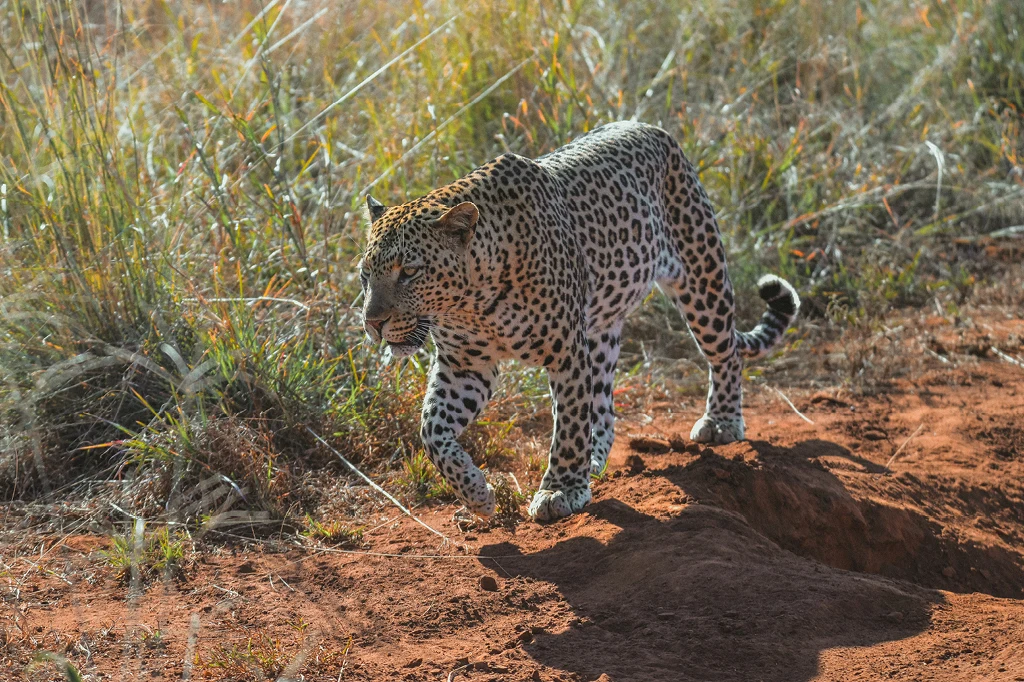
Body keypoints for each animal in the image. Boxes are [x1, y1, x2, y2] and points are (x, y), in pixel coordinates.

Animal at [357, 120, 799, 522]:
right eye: (365, 274)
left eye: (409, 272)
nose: (373, 323)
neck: (471, 303)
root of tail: (651, 127)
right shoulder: (466, 365)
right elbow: (432, 430)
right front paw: (476, 495)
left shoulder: (566, 351)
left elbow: (568, 424)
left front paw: (560, 490)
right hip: (601, 331)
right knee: (603, 408)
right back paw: (594, 460)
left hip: (702, 280)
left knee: (726, 354)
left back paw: (721, 421)